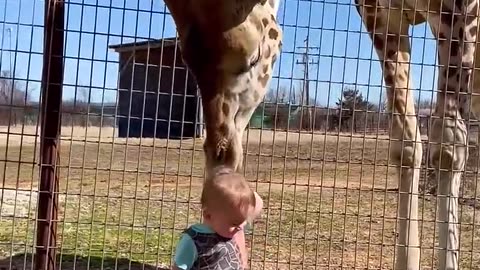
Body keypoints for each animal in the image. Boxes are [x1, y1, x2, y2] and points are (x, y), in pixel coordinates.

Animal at [163, 0, 478, 268]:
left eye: (253, 58)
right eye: (186, 61)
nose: (220, 151)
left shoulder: (460, 9)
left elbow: (449, 146)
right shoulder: (381, 16)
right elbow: (406, 143)